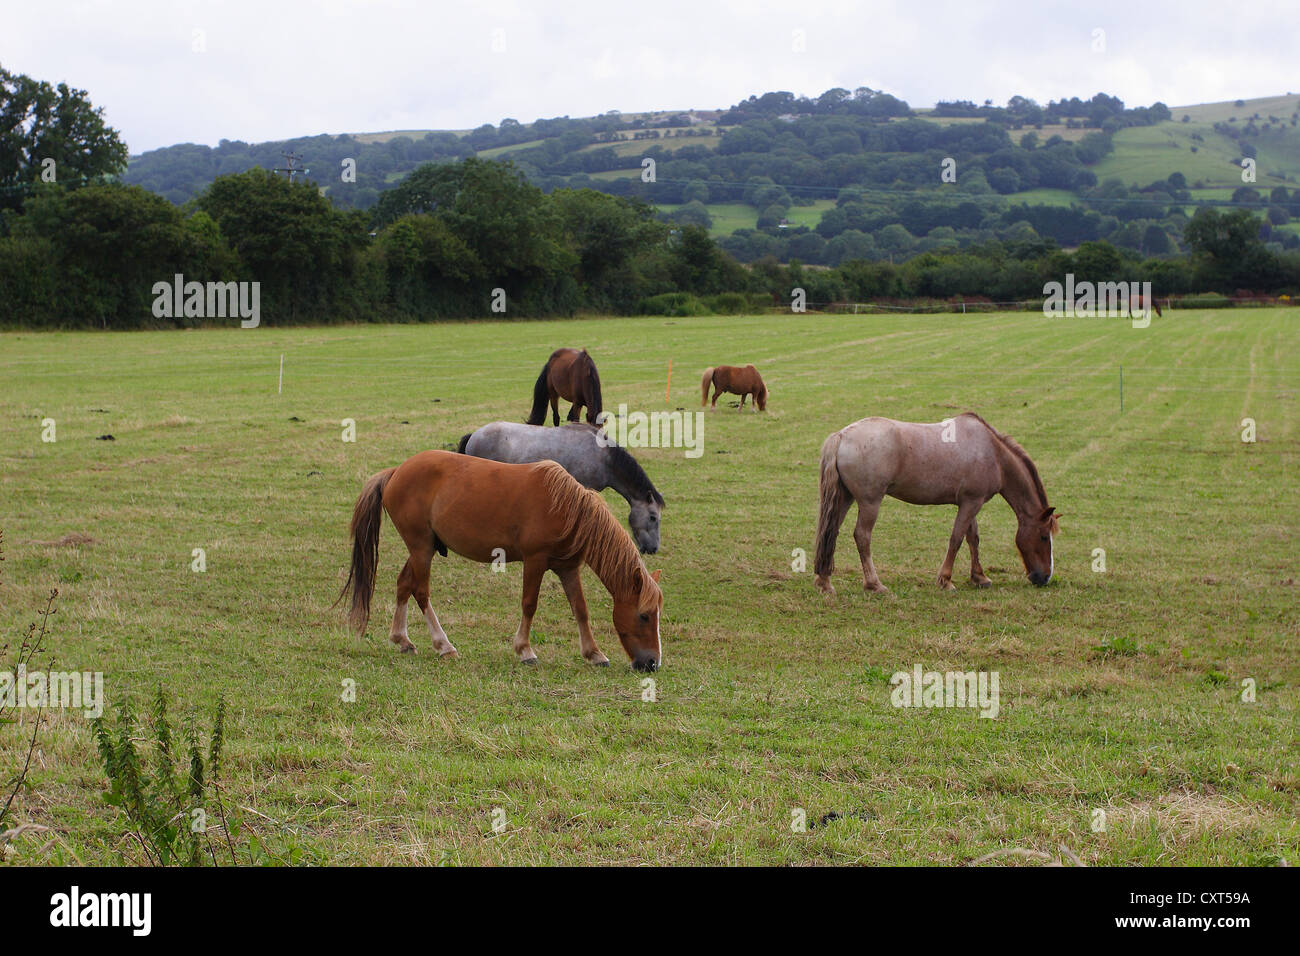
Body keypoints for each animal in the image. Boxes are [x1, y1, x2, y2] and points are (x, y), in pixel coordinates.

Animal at [340, 450, 665, 671]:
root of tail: (396, 471)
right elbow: (529, 604)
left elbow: (580, 609)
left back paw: (402, 639)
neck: (567, 508)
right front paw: (525, 650)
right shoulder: (535, 561)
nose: (652, 663)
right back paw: (444, 645)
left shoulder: (568, 567)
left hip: (425, 548)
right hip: (421, 548)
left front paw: (594, 653)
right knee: (421, 592)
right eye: (644, 616)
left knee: (404, 584)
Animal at [816, 413, 1060, 595]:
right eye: (1043, 536)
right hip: (870, 501)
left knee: (831, 533)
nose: (1045, 577)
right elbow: (957, 539)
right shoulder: (971, 503)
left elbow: (973, 539)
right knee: (862, 536)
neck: (994, 453)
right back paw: (874, 584)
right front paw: (946, 580)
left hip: (845, 498)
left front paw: (979, 577)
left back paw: (825, 582)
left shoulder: (971, 502)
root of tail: (842, 436)